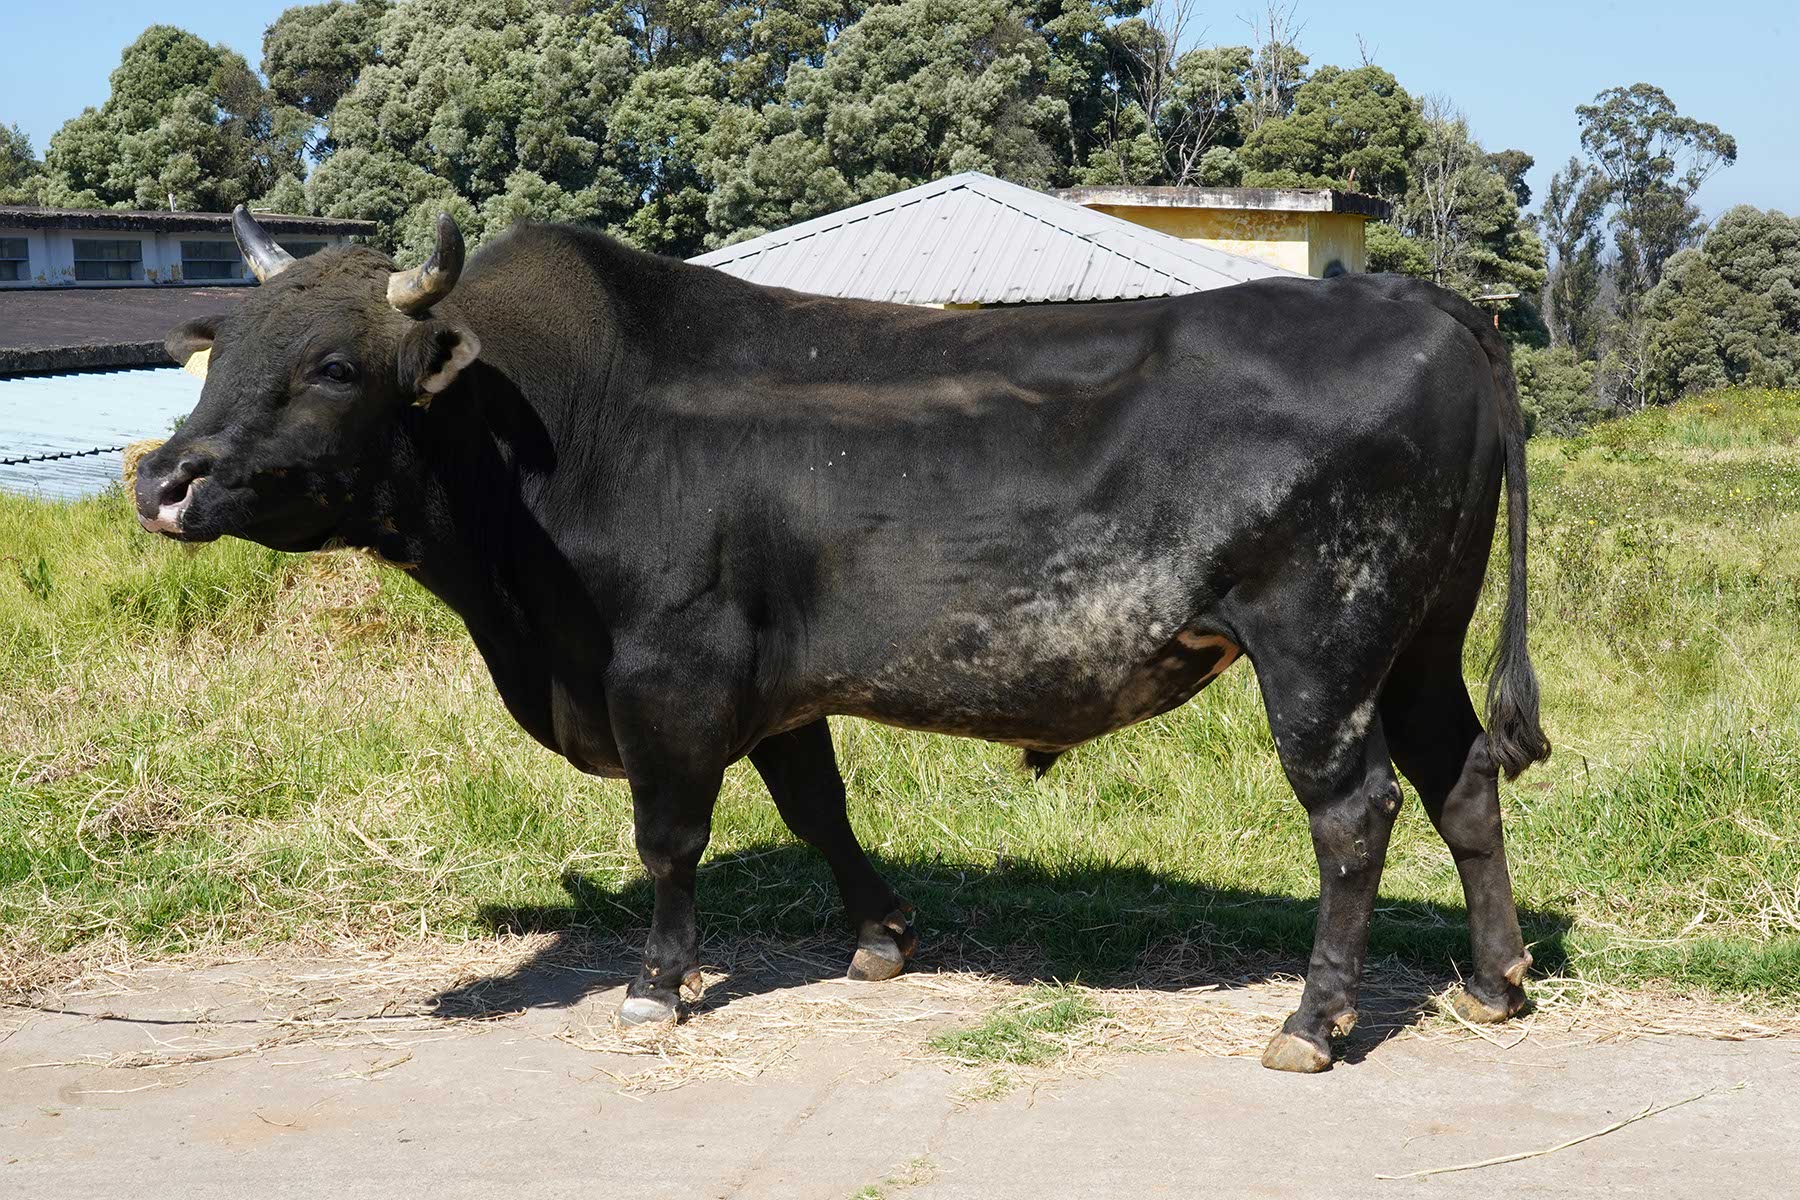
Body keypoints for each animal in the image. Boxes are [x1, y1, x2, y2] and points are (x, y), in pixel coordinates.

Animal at [134, 207, 1550, 1072]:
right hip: (1420, 644)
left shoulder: (668, 674)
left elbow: (671, 839)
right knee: (1462, 782)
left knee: (1356, 814)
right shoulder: (778, 683)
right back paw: (1494, 980)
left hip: (1322, 649)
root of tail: (1426, 301)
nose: (163, 478)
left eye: (331, 364)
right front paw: (881, 936)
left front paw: (658, 984)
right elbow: (818, 807)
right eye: (221, 349)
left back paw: (1316, 1020)